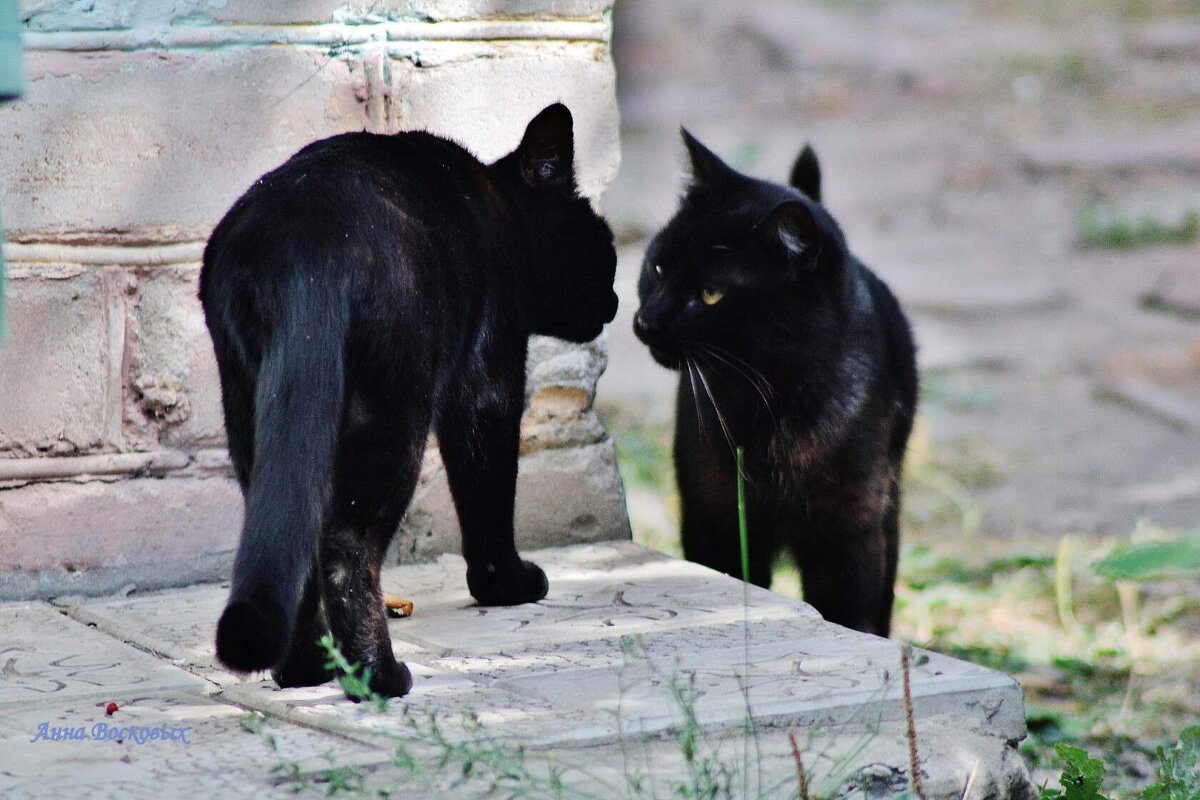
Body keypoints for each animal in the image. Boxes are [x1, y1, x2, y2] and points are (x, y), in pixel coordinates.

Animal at [200, 103, 614, 695]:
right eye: (604, 246)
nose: (617, 300)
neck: (501, 213)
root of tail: (303, 249)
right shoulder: (489, 378)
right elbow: (489, 488)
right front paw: (508, 584)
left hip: (250, 403)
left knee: (295, 527)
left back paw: (306, 671)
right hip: (394, 411)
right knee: (346, 545)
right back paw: (379, 676)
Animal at [638, 133, 916, 638]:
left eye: (711, 294)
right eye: (659, 269)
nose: (645, 322)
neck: (771, 402)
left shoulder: (849, 529)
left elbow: (850, 609)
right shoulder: (716, 515)